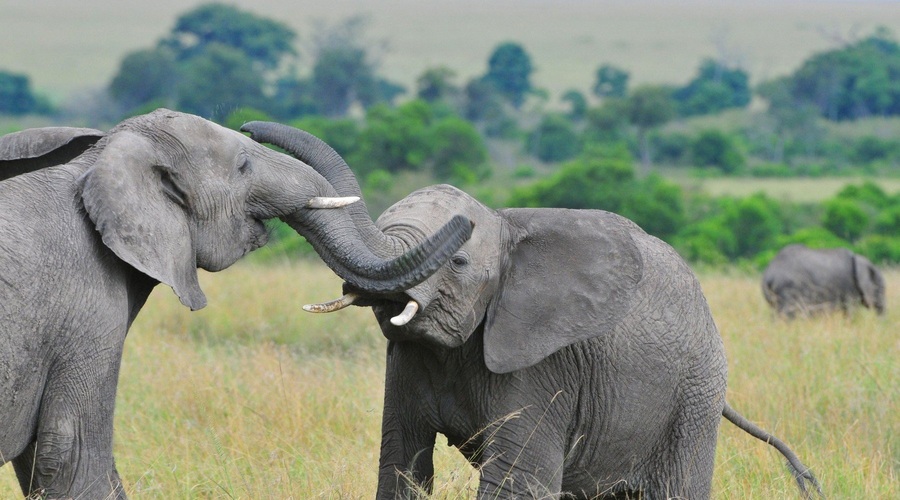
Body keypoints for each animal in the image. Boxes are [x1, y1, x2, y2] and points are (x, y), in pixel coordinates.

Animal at [243, 122, 828, 500]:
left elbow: (515, 480)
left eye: (458, 260)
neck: (504, 226)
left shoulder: (544, 364)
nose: (247, 128)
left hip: (694, 396)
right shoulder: (407, 364)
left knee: (675, 487)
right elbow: (402, 466)